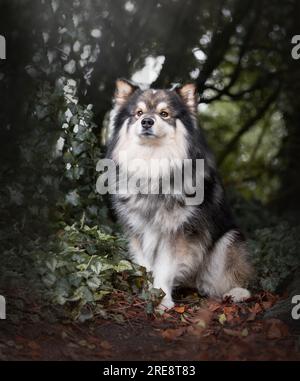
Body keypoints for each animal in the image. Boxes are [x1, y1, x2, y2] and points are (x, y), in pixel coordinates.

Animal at [106, 79, 252, 308]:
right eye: (139, 112)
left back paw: (236, 292)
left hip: (228, 240)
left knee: (230, 279)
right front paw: (149, 295)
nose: (146, 121)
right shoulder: (139, 231)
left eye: (164, 113)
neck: (153, 164)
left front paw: (163, 300)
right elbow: (147, 267)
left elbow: (165, 269)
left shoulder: (177, 234)